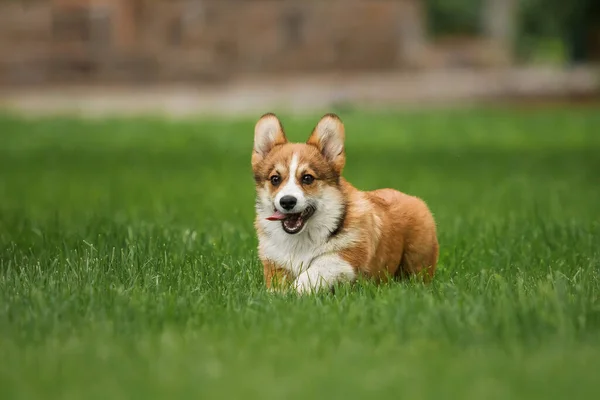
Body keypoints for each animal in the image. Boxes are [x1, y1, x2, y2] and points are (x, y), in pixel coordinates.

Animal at [251, 112, 438, 294]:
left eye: (307, 178)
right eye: (275, 179)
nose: (287, 201)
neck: (300, 240)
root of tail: (412, 198)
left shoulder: (346, 257)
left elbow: (316, 269)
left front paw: (296, 291)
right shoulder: (275, 263)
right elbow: (278, 285)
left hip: (417, 258)